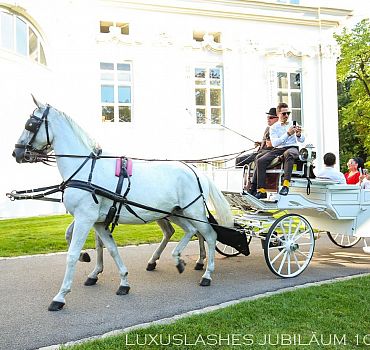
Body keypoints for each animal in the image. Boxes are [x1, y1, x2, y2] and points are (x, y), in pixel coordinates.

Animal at [14, 97, 233, 310]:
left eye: (31, 124)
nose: (16, 153)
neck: (85, 169)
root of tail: (196, 170)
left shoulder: (85, 218)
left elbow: (72, 254)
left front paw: (61, 296)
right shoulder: (98, 222)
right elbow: (110, 248)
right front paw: (122, 281)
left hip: (193, 211)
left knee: (209, 235)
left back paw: (206, 273)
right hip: (176, 212)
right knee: (190, 231)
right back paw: (178, 259)